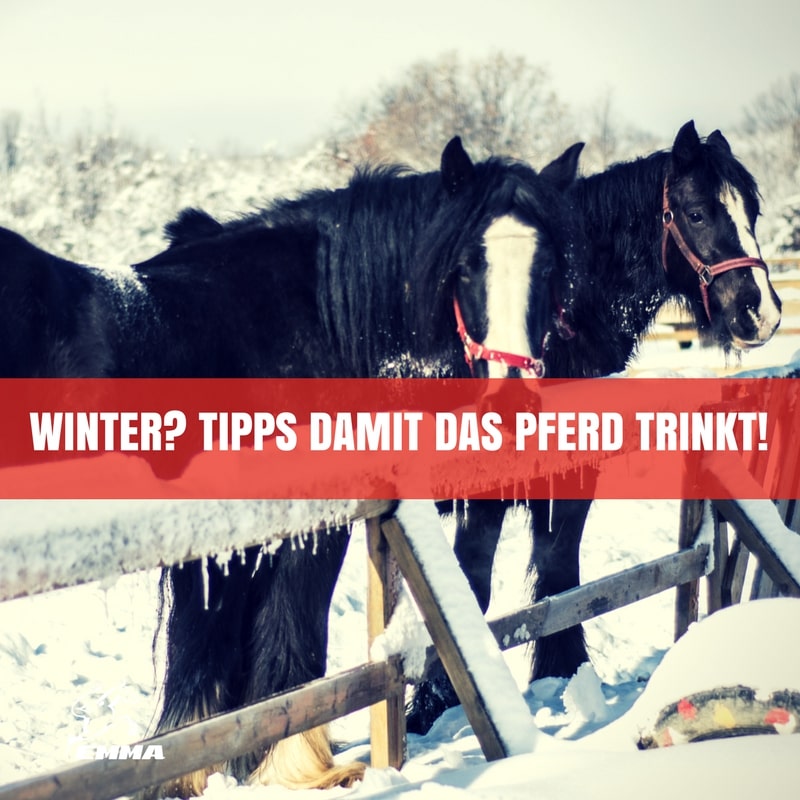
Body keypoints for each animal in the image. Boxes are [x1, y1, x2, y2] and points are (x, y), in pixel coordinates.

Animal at [0, 137, 584, 795]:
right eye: (465, 267)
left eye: (549, 268)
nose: (512, 401)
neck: (307, 314)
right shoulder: (300, 527)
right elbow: (290, 643)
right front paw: (299, 768)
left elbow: (210, 665)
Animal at [407, 121, 783, 733]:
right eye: (698, 213)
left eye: (751, 210)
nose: (762, 313)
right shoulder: (483, 493)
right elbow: (474, 585)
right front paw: (430, 709)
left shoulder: (572, 475)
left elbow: (560, 574)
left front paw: (561, 676)